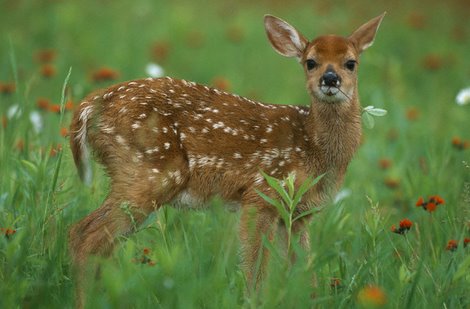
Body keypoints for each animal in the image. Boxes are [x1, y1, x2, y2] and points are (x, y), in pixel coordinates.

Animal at [69, 12, 386, 306]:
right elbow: (255, 268)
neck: (314, 148)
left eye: (351, 62)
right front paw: (254, 301)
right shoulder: (260, 195)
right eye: (310, 62)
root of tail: (90, 104)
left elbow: (305, 272)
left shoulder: (298, 214)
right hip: (149, 171)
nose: (329, 79)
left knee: (94, 241)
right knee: (85, 236)